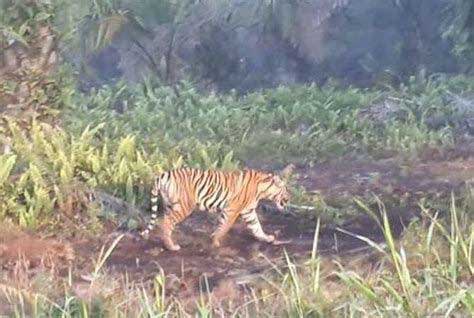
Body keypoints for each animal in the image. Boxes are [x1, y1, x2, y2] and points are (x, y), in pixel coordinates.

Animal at [139, 168, 290, 252]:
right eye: (285, 190)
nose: (289, 198)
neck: (262, 190)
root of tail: (164, 174)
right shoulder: (233, 210)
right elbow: (224, 226)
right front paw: (216, 241)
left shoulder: (248, 211)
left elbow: (256, 227)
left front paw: (266, 238)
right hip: (184, 206)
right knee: (166, 222)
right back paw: (171, 246)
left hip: (169, 205)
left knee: (164, 220)